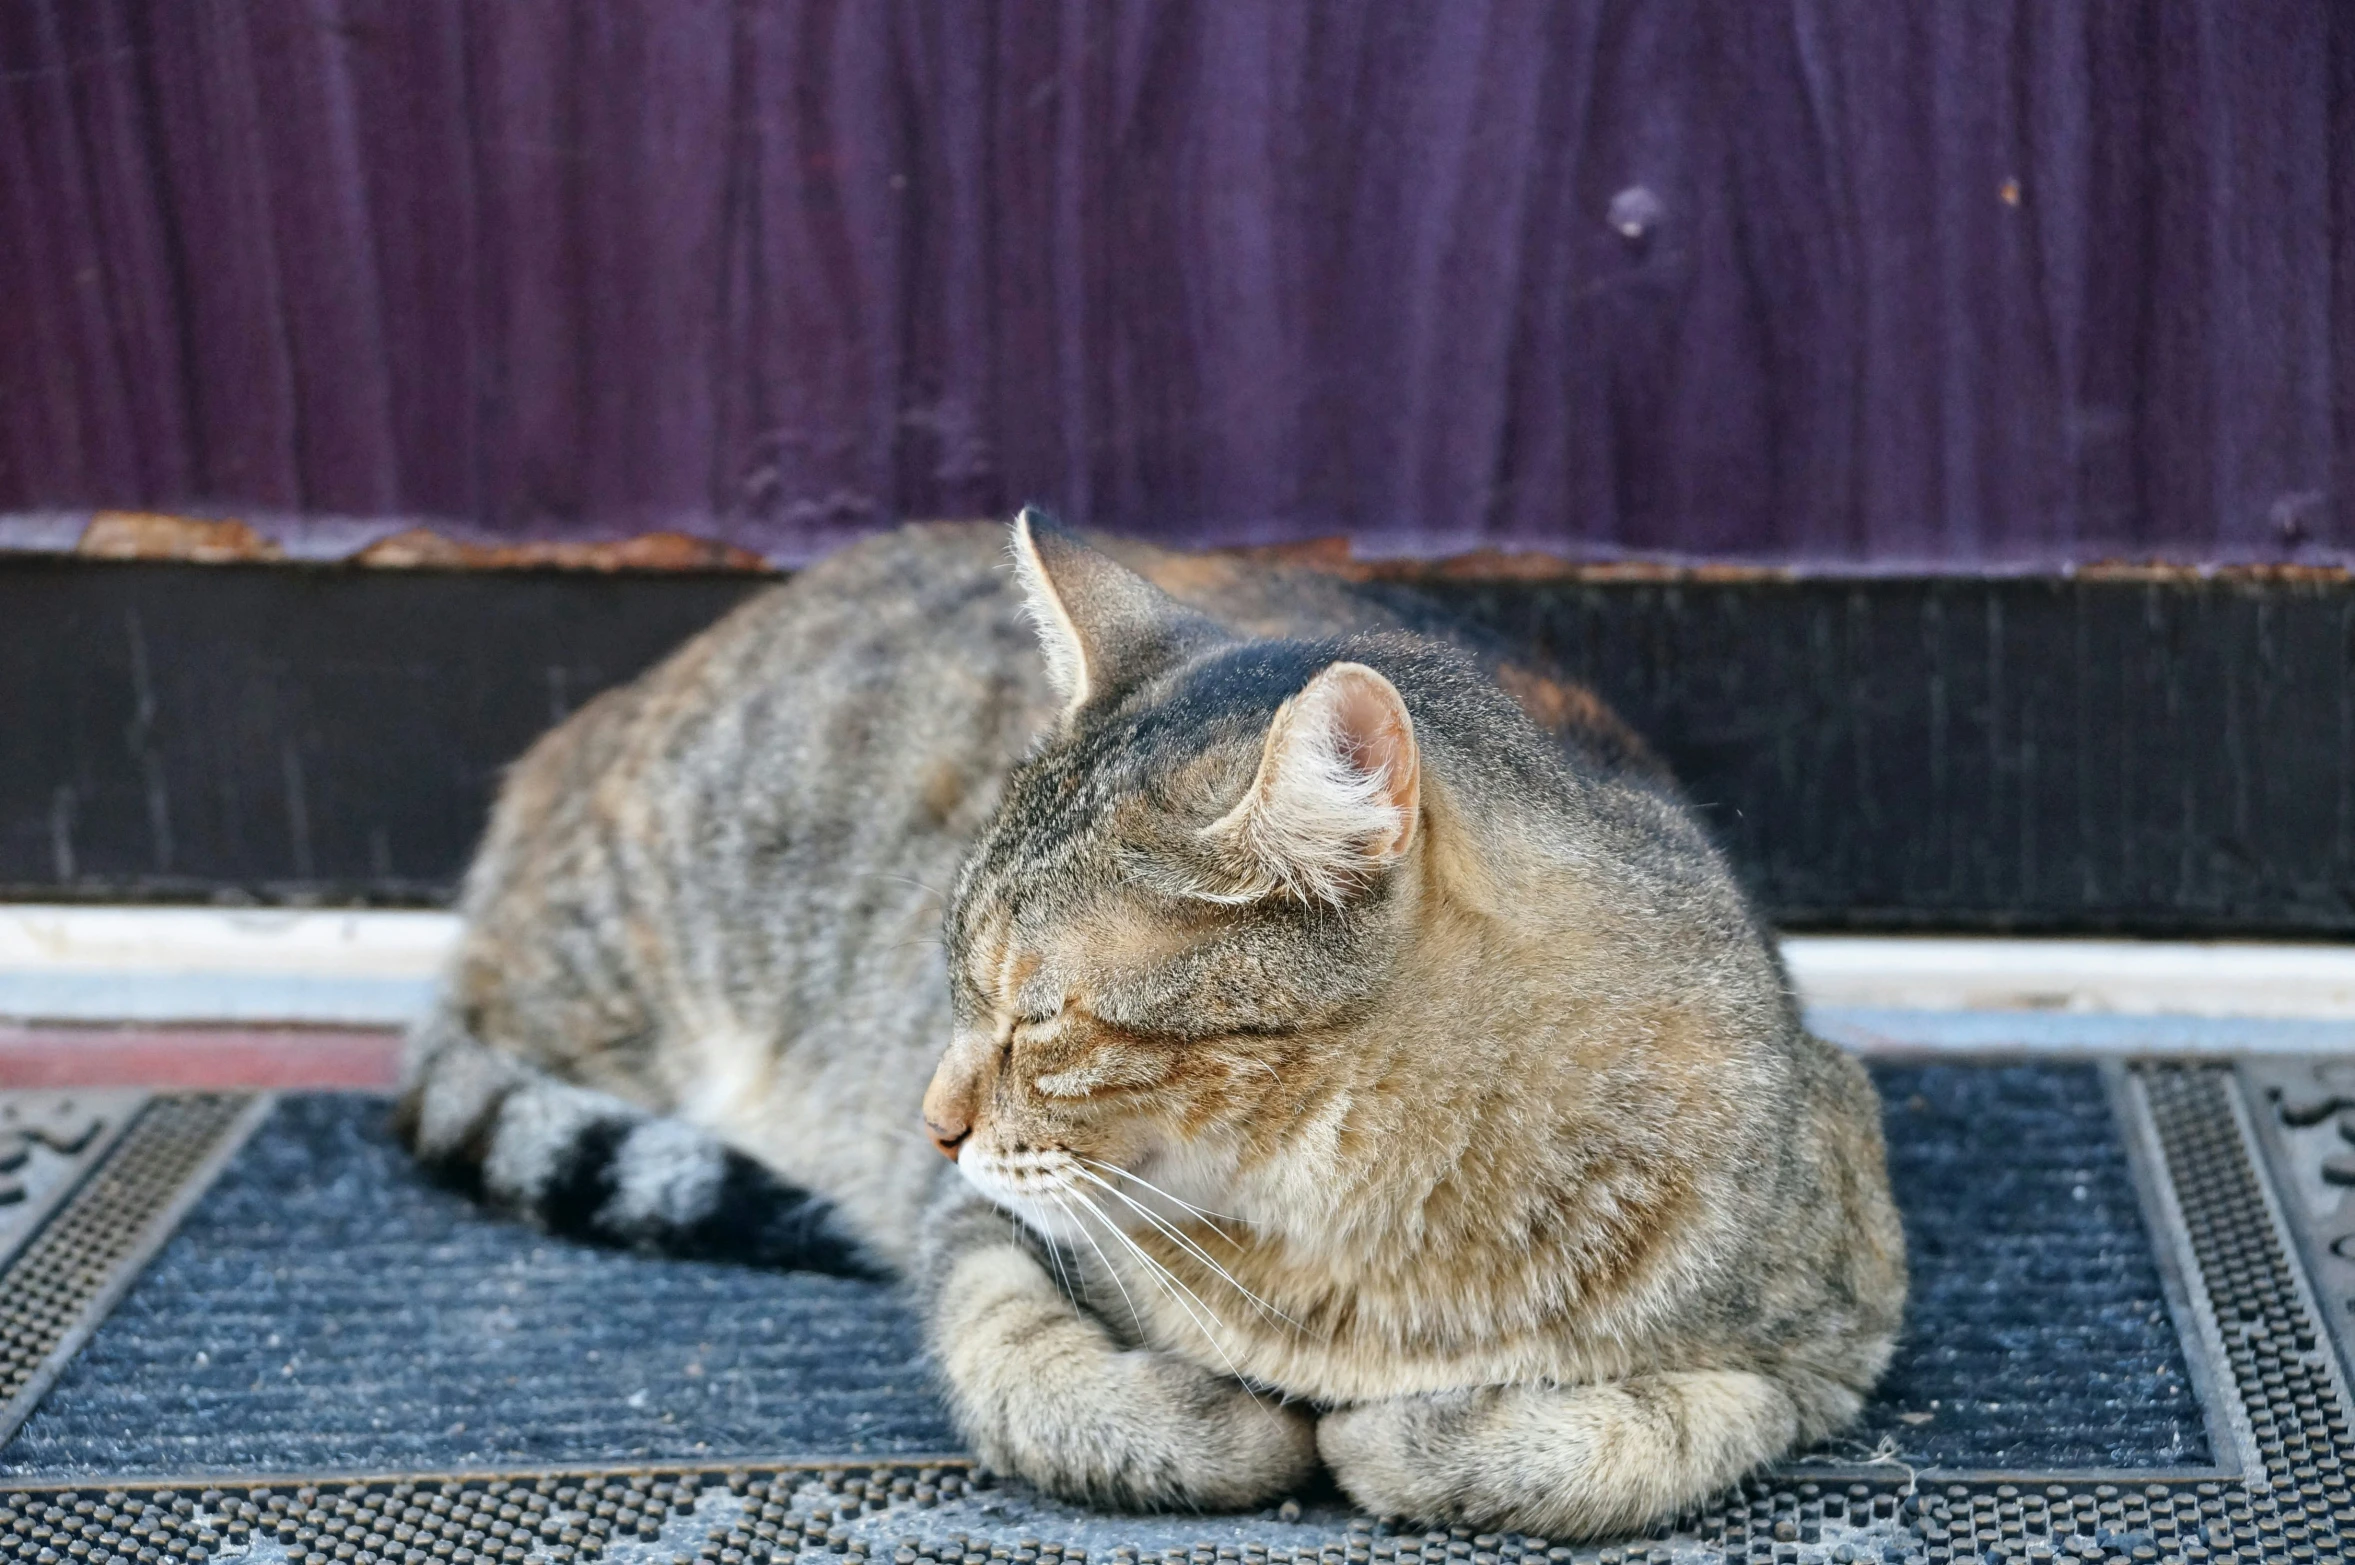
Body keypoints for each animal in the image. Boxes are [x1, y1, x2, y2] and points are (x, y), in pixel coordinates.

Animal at [395, 505, 1902, 1534]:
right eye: (949, 978)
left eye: (1038, 1019)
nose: (927, 1124)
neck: (1355, 1256)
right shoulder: (976, 1232)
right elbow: (1029, 1366)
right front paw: (1232, 1425)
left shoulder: (1832, 1328)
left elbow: (1638, 1433)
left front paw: (1410, 1441)